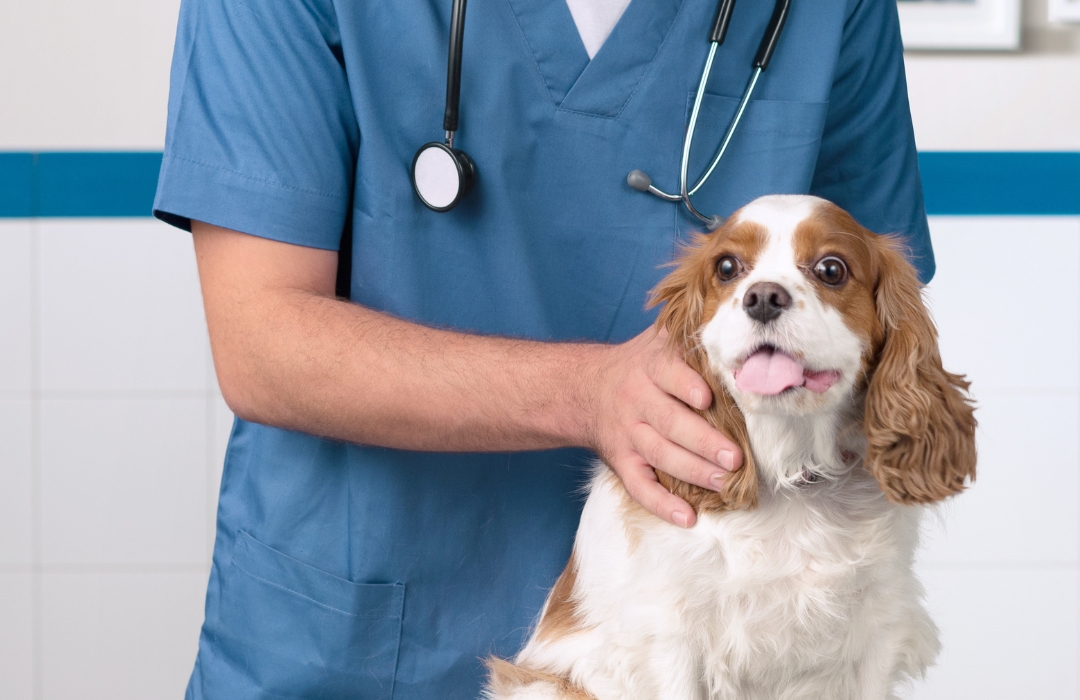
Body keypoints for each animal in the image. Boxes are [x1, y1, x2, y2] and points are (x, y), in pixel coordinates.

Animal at [486, 192, 976, 700]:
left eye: (832, 269)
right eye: (726, 268)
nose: (763, 296)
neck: (791, 469)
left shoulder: (875, 632)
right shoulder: (669, 638)